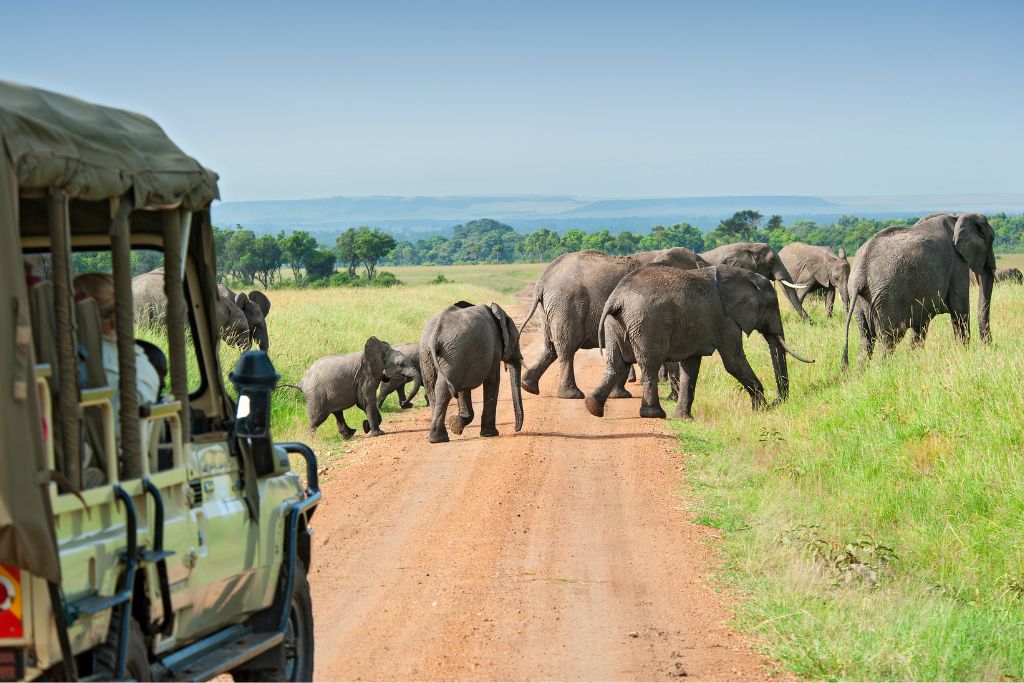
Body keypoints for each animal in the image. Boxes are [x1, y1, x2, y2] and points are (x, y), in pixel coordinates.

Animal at [291, 337, 420, 438]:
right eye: (400, 364)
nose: (404, 403)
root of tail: (302, 382)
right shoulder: (365, 377)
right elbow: (366, 402)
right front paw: (378, 433)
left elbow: (364, 403)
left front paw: (366, 426)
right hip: (316, 395)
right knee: (317, 418)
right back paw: (312, 440)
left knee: (338, 413)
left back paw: (349, 435)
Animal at [420, 301, 524, 443]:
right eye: (517, 339)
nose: (515, 429)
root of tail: (435, 334)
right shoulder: (494, 348)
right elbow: (493, 381)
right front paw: (490, 434)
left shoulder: (465, 358)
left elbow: (464, 389)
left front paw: (456, 425)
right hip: (452, 354)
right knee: (444, 389)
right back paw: (439, 438)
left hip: (433, 354)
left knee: (432, 388)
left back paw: (437, 438)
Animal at [519, 247, 708, 399]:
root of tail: (542, 280)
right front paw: (672, 398)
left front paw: (619, 395)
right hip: (566, 304)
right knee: (567, 347)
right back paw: (571, 395)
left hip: (549, 308)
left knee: (550, 347)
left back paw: (528, 386)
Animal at [585, 265, 814, 421]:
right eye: (772, 305)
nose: (777, 402)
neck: (744, 277)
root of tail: (617, 297)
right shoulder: (726, 320)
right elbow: (733, 362)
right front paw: (760, 410)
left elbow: (691, 366)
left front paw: (684, 419)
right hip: (646, 323)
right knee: (650, 364)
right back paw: (654, 414)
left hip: (616, 323)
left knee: (616, 363)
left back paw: (592, 406)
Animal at [842, 212, 995, 365]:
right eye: (993, 239)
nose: (989, 346)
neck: (957, 217)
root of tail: (861, 273)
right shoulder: (957, 264)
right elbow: (960, 310)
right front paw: (964, 353)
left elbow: (920, 325)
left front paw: (915, 359)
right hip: (887, 299)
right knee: (889, 339)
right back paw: (884, 367)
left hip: (862, 301)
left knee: (866, 341)